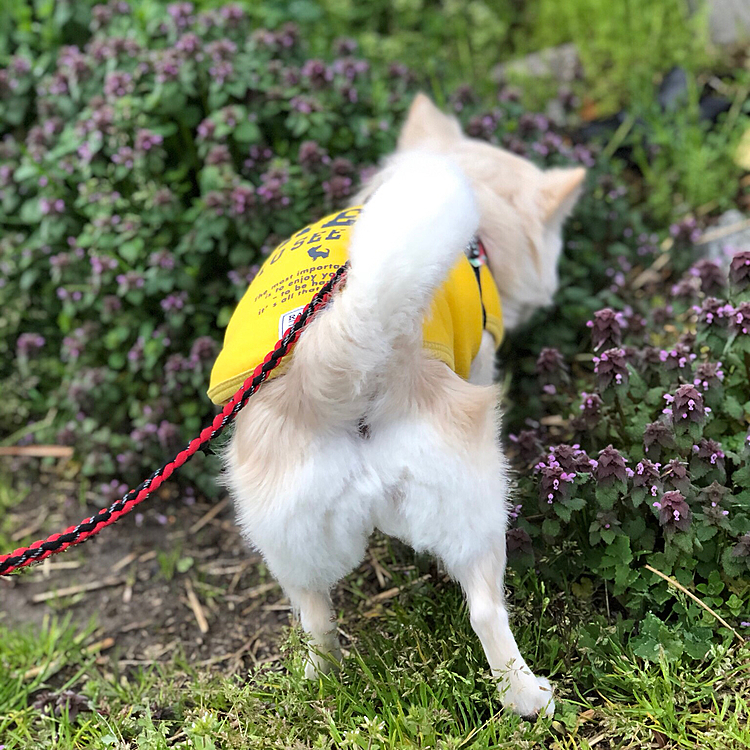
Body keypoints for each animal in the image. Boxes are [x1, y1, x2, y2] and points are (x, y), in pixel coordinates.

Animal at [212, 95, 588, 724]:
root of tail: (339, 356)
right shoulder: (479, 357)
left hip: (288, 541)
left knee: (315, 619)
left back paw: (324, 684)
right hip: (476, 506)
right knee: (486, 611)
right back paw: (529, 698)